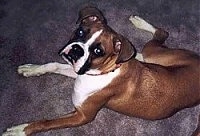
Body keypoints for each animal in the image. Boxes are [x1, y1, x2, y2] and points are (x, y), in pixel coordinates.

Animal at [3, 6, 200, 136]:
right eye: (80, 32)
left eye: (98, 51)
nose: (77, 50)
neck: (110, 69)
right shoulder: (81, 70)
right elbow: (54, 65)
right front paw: (32, 69)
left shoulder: (82, 116)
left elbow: (47, 122)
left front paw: (21, 129)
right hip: (152, 58)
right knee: (145, 50)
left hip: (156, 53)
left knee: (162, 33)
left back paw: (141, 24)